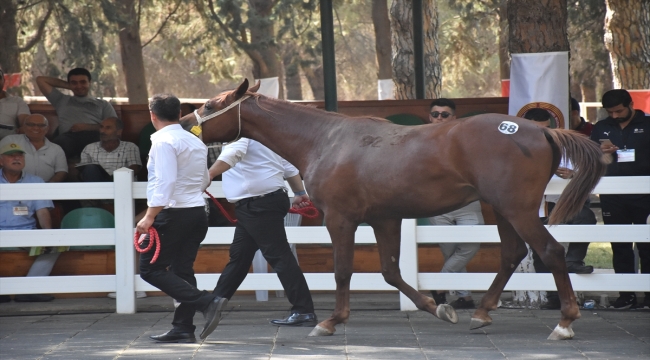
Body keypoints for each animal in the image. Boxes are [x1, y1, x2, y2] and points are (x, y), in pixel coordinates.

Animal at [178, 80, 608, 342]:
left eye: (211, 104)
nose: (181, 122)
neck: (325, 140)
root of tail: (542, 129)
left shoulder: (341, 219)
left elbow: (343, 270)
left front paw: (330, 321)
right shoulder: (385, 218)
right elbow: (390, 272)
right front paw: (438, 308)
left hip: (517, 209)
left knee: (550, 251)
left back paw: (564, 323)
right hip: (504, 210)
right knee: (512, 253)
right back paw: (481, 313)